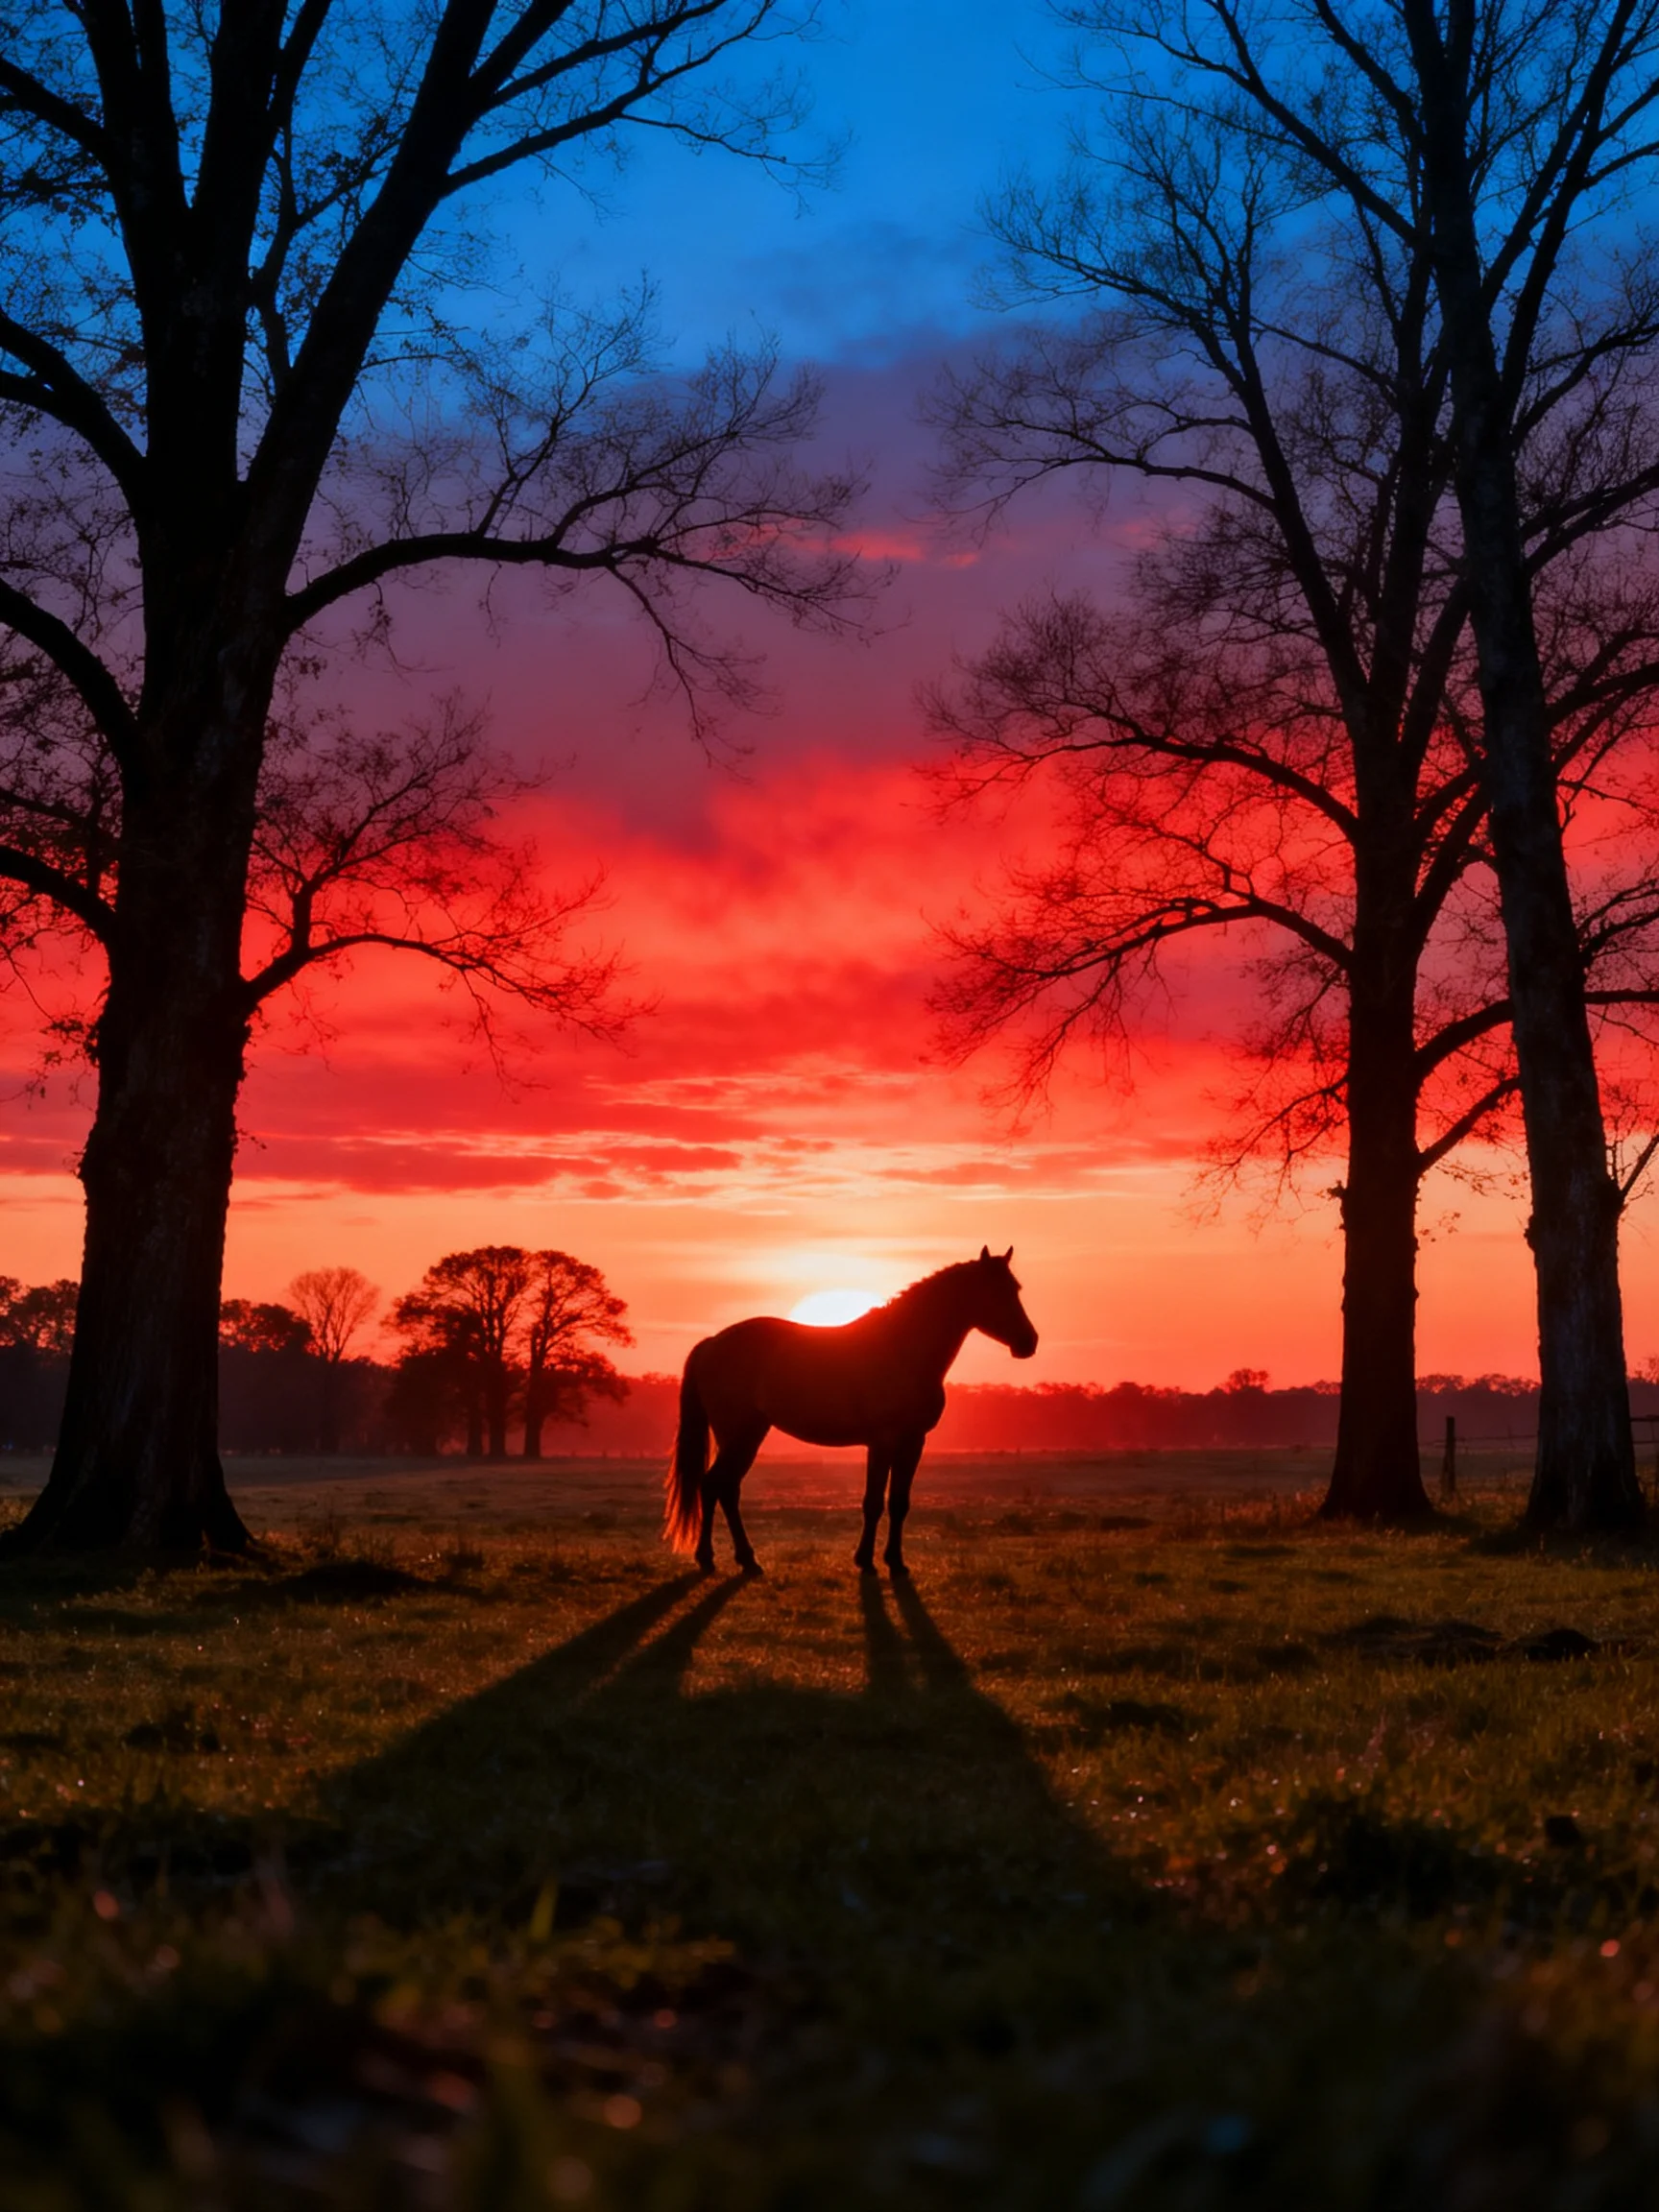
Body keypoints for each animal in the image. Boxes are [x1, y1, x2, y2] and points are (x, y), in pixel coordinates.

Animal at [665, 1247, 1038, 1576]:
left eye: (1017, 1289)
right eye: (995, 1291)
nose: (1028, 1342)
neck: (902, 1349)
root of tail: (712, 1343)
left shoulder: (913, 1442)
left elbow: (899, 1502)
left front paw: (896, 1563)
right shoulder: (882, 1441)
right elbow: (873, 1502)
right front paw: (866, 1562)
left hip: (751, 1434)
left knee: (724, 1488)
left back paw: (744, 1560)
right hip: (738, 1435)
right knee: (714, 1485)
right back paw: (714, 1559)